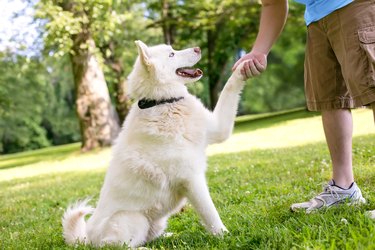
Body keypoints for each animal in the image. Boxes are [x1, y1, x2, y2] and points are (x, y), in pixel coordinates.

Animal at [62, 40, 247, 247]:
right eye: (171, 54)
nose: (198, 48)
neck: (163, 102)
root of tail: (87, 238)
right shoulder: (192, 180)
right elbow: (210, 214)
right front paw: (225, 236)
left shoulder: (219, 129)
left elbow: (229, 87)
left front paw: (243, 66)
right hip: (133, 219)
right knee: (122, 246)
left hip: (157, 222)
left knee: (149, 237)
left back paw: (169, 237)